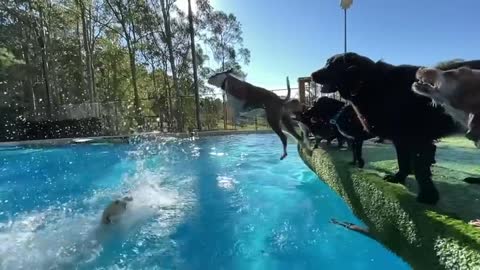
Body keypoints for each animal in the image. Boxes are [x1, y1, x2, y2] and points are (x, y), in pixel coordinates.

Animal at [312, 52, 480, 205]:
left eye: (333, 65)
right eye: (327, 63)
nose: (312, 75)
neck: (368, 83)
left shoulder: (418, 139)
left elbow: (420, 169)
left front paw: (428, 196)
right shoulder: (400, 139)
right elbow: (402, 161)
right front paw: (399, 178)